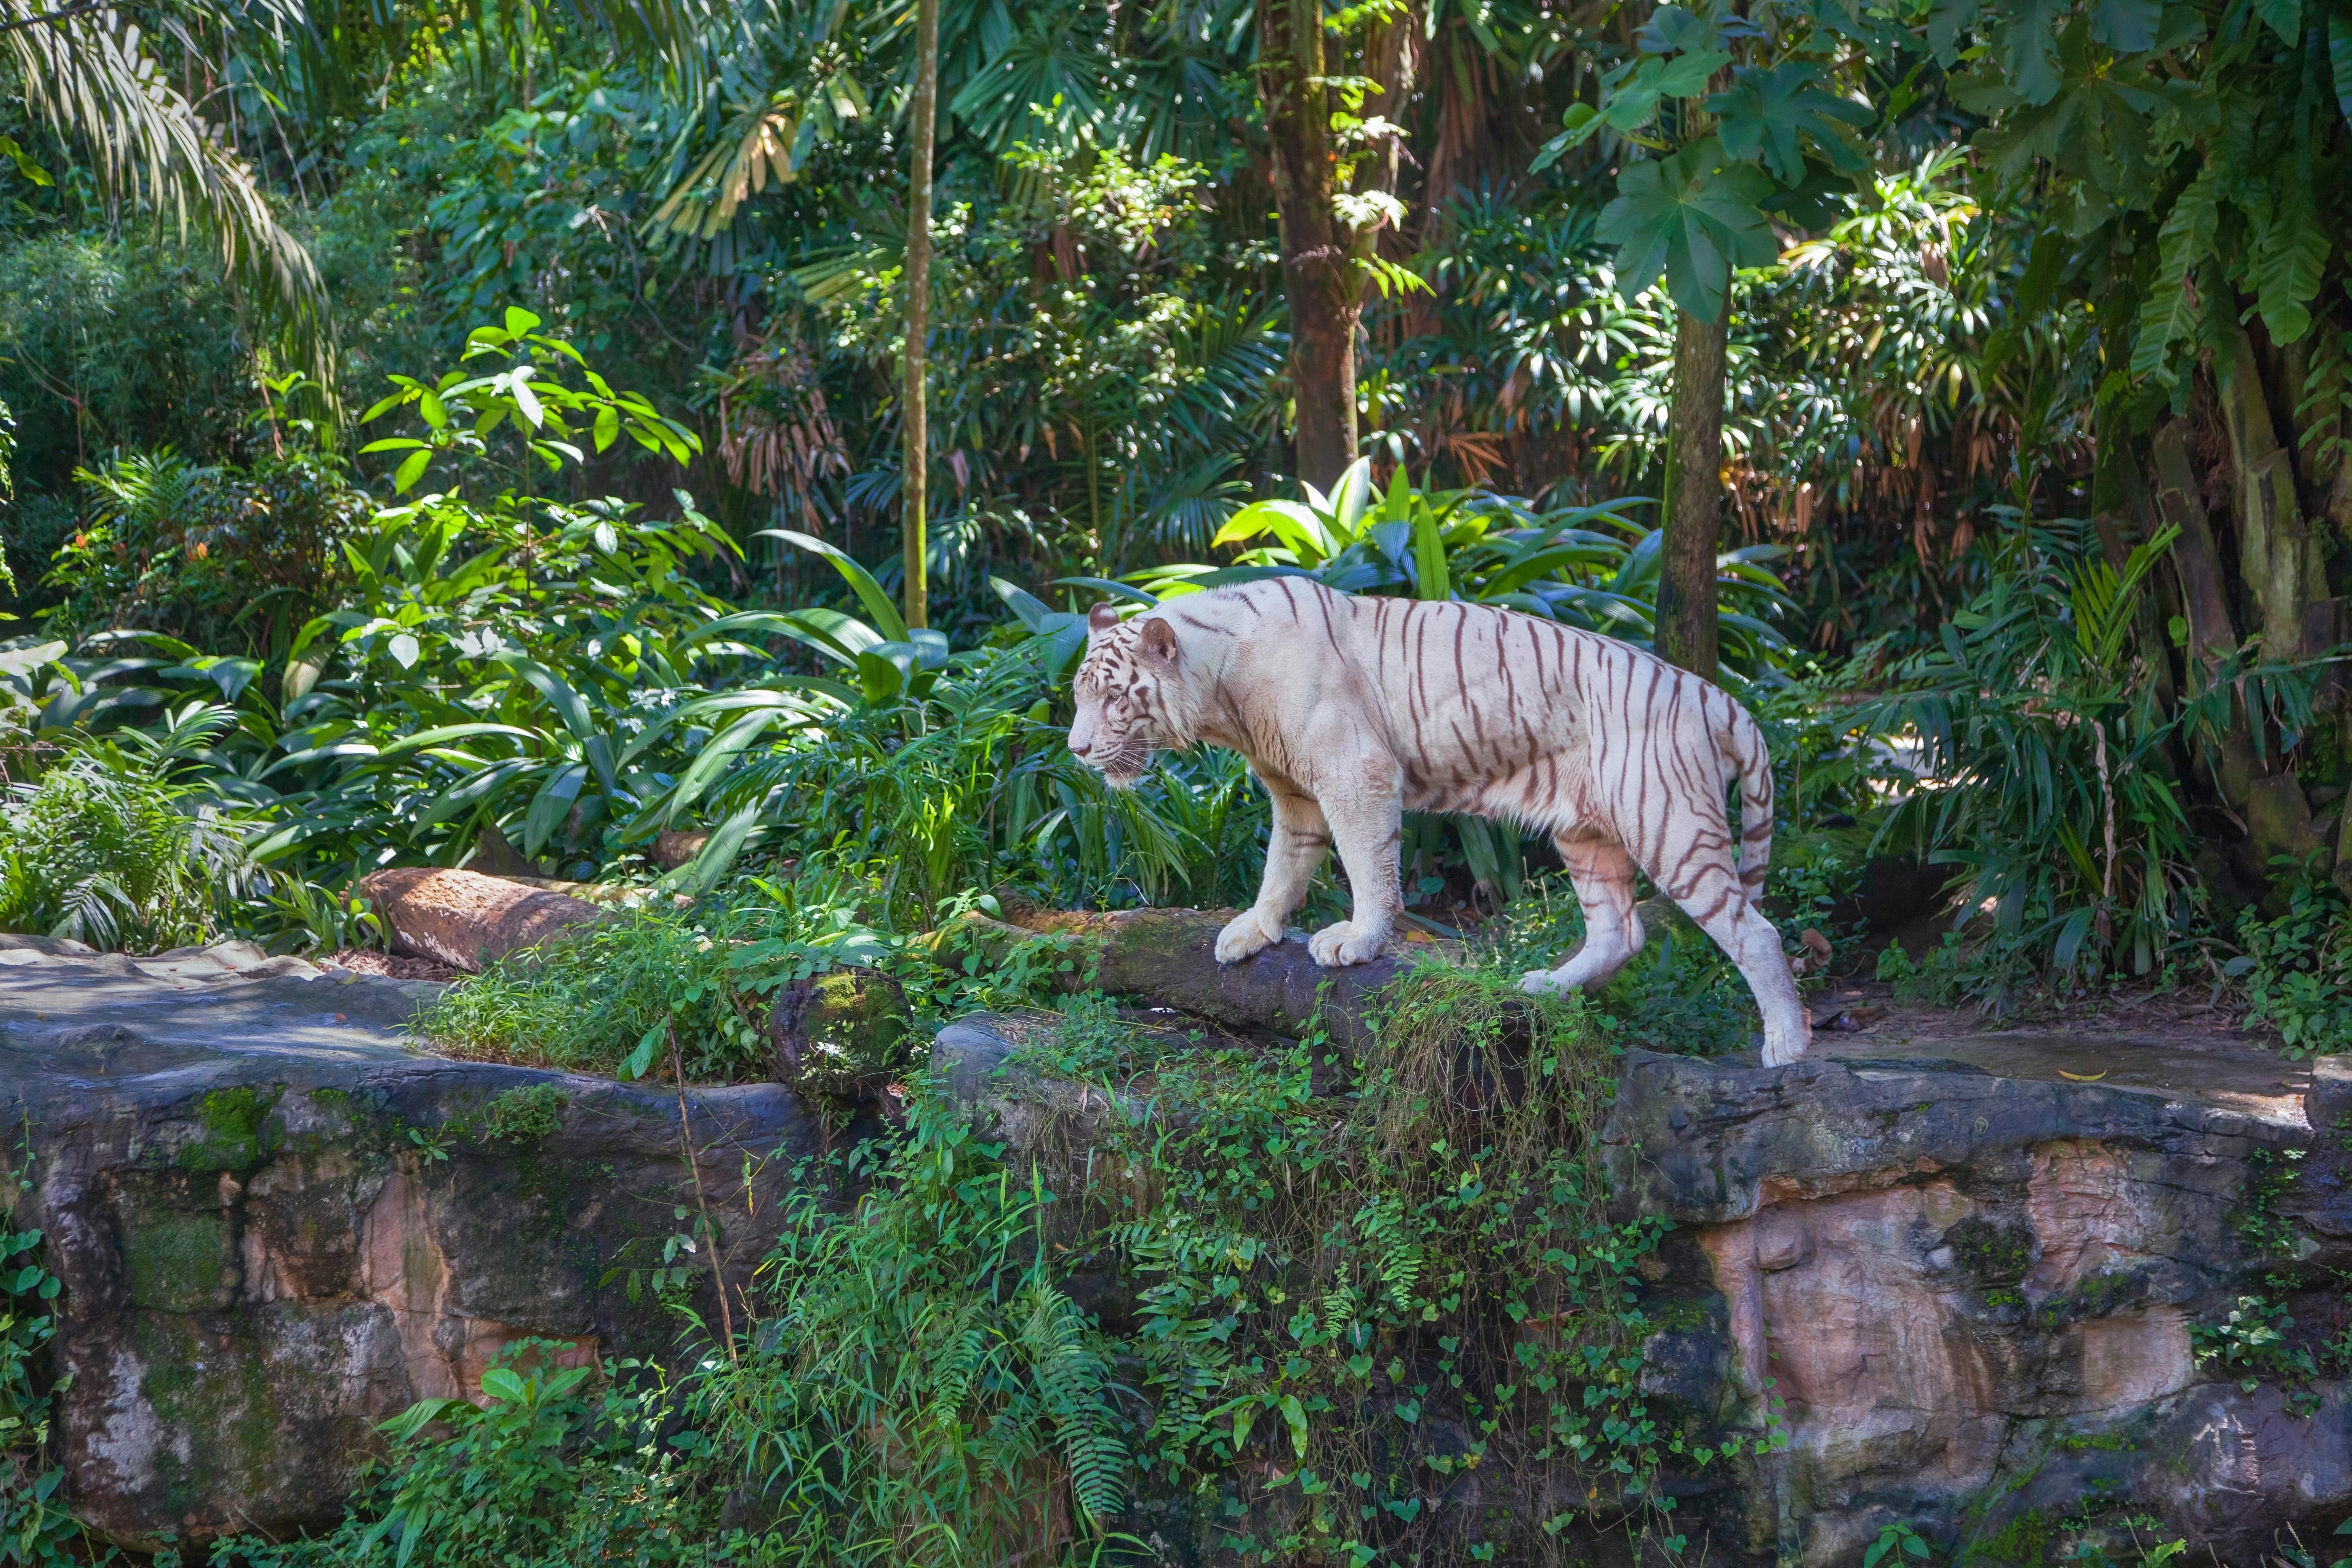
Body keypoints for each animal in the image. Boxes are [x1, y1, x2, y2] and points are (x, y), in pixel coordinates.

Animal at [1068, 576, 1816, 1067]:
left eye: (1113, 698)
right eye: (1079, 695)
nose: (1075, 750)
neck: (1222, 691)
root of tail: (1714, 694)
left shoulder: (1356, 772)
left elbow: (1366, 863)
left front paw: (1358, 941)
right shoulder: (1296, 793)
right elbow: (1285, 864)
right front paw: (1253, 931)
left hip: (1667, 820)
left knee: (1755, 931)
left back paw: (1786, 1045)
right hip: (1586, 832)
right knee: (1619, 932)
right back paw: (1544, 988)